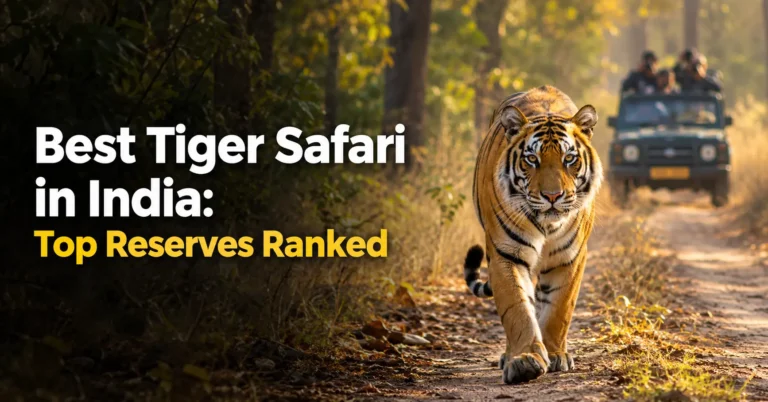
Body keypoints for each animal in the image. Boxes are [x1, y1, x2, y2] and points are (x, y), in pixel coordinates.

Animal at [464, 85, 602, 384]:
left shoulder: (569, 257)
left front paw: (556, 355)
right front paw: (524, 359)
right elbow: (517, 308)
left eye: (569, 159)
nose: (552, 196)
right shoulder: (505, 254)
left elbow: (558, 309)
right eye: (531, 159)